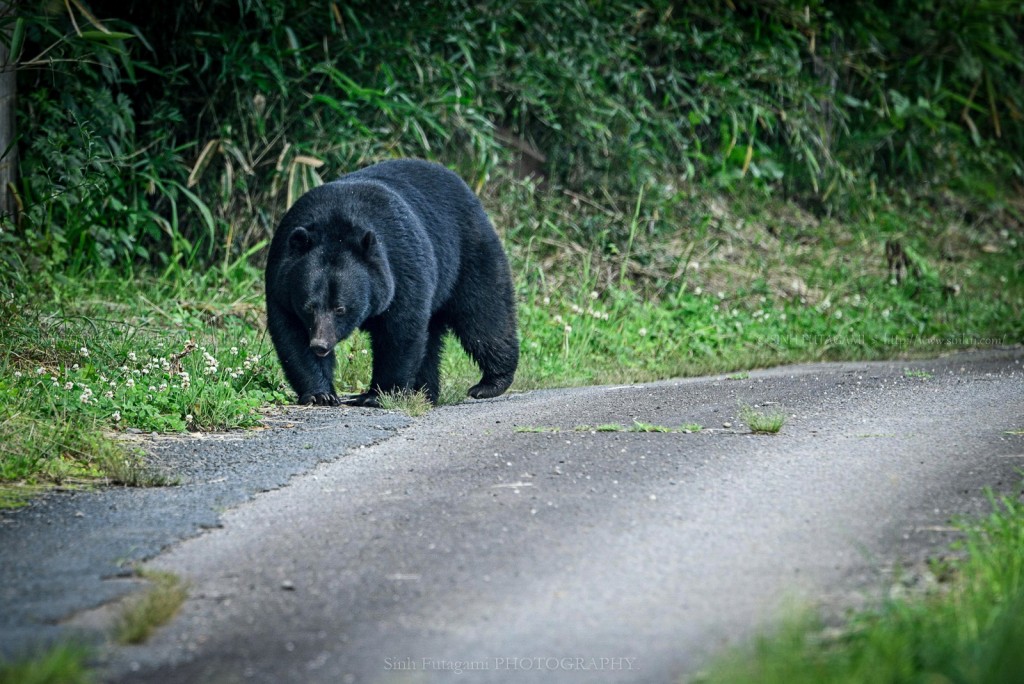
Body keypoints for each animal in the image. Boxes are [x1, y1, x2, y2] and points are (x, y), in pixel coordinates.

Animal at [264, 158, 519, 407]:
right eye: (308, 307)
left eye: (340, 308)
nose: (320, 345)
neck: (336, 224)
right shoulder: (282, 276)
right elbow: (292, 334)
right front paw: (321, 394)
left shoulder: (399, 264)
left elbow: (400, 330)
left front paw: (377, 395)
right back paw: (424, 392)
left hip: (468, 252)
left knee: (483, 313)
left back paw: (490, 383)